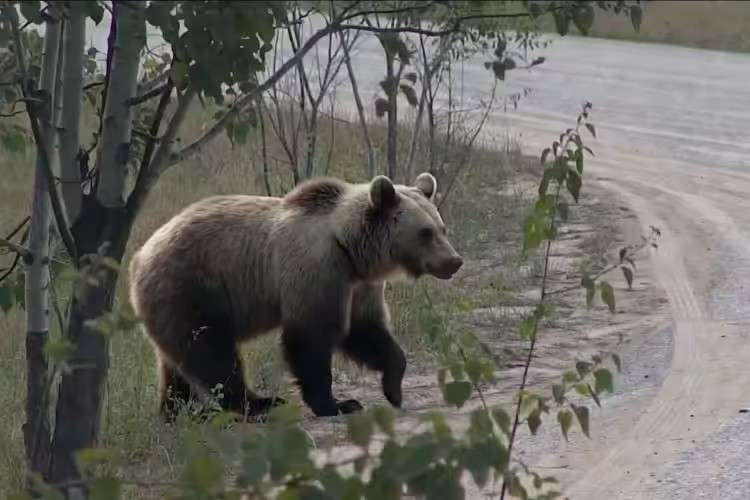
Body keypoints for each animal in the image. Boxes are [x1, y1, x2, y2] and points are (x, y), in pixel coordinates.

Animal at [128, 172, 463, 420]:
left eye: (443, 227)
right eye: (425, 232)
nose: (454, 261)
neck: (351, 249)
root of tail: (138, 259)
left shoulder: (358, 286)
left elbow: (366, 333)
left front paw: (394, 390)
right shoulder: (316, 270)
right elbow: (312, 337)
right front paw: (337, 403)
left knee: (177, 363)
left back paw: (177, 411)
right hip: (192, 288)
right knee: (212, 352)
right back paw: (258, 404)